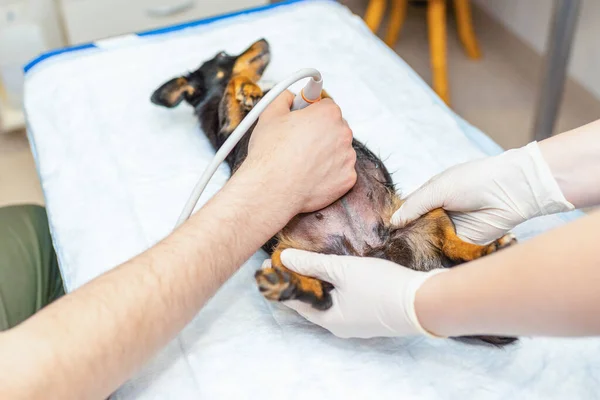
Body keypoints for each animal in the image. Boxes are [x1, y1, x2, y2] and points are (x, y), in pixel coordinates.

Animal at [152, 37, 516, 346]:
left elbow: (321, 95)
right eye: (223, 55)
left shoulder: (321, 103)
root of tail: (372, 255)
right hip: (285, 255)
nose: (264, 40)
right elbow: (231, 89)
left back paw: (487, 250)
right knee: (323, 299)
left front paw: (253, 89)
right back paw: (290, 286)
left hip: (426, 210)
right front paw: (245, 87)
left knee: (451, 247)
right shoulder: (228, 127)